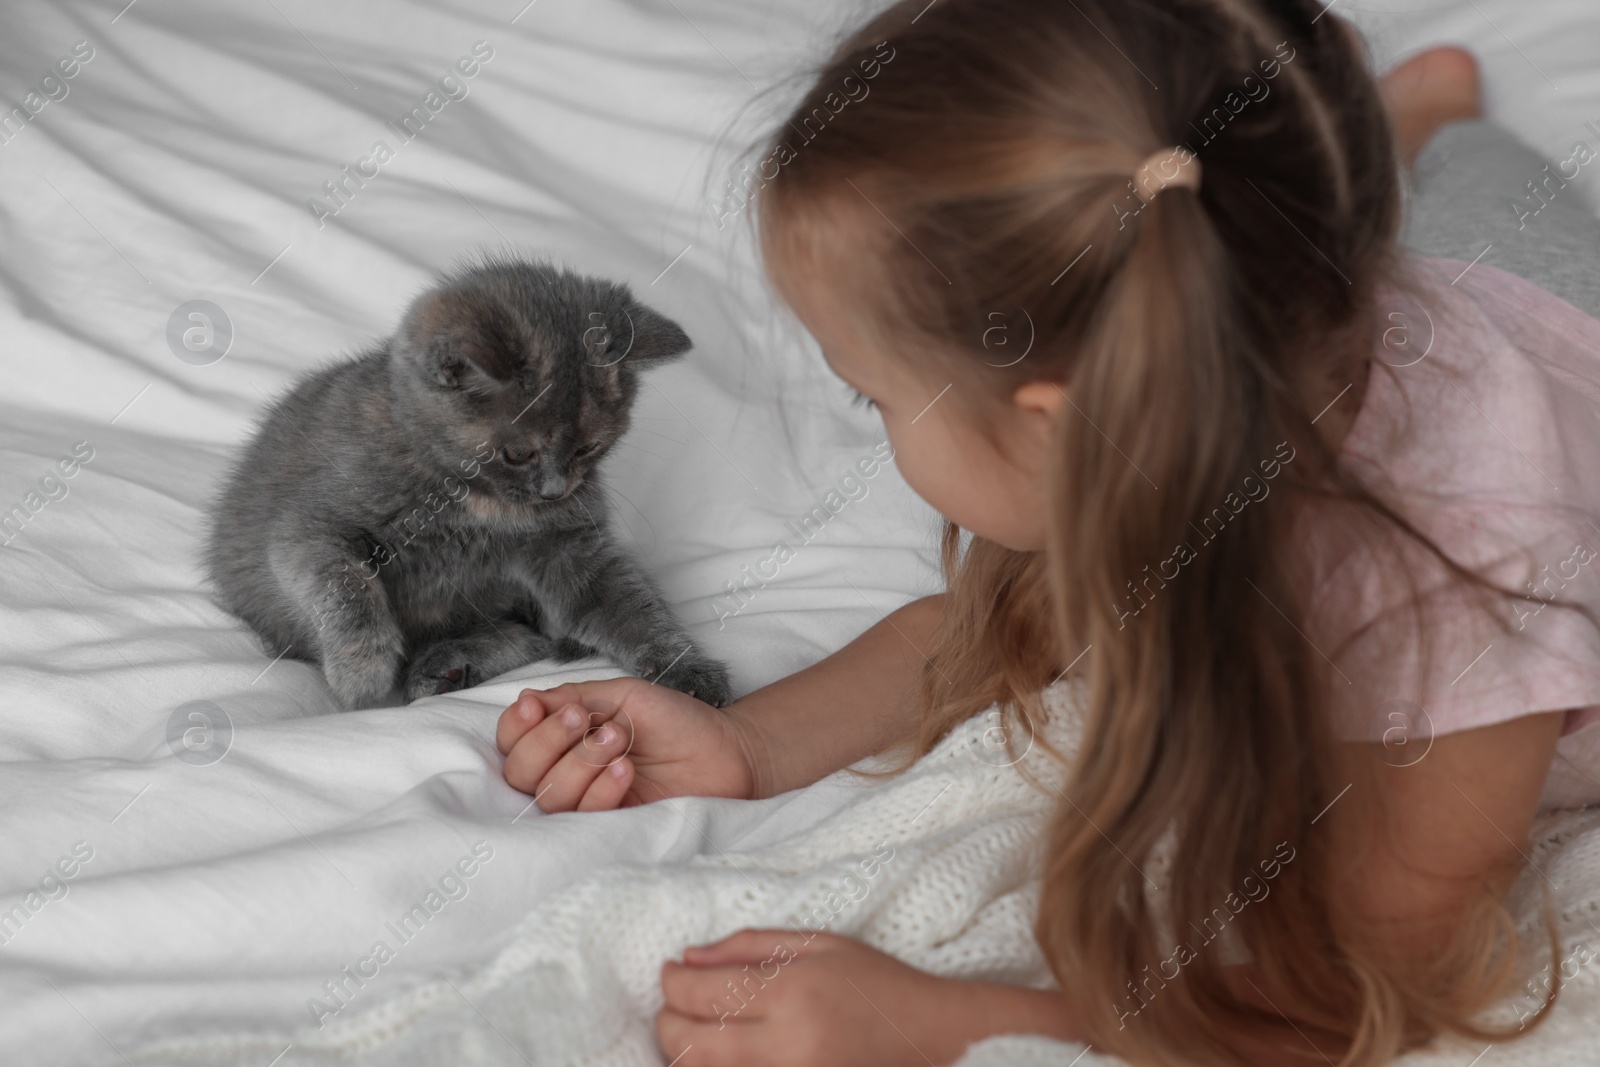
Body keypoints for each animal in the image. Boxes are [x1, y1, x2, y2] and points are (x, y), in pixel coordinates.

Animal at [206, 255, 736, 710]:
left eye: (588, 448)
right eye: (519, 453)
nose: (554, 490)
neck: (476, 501)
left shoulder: (567, 545)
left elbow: (625, 606)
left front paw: (686, 667)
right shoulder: (310, 525)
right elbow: (343, 583)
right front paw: (361, 674)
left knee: (535, 634)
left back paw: (445, 665)